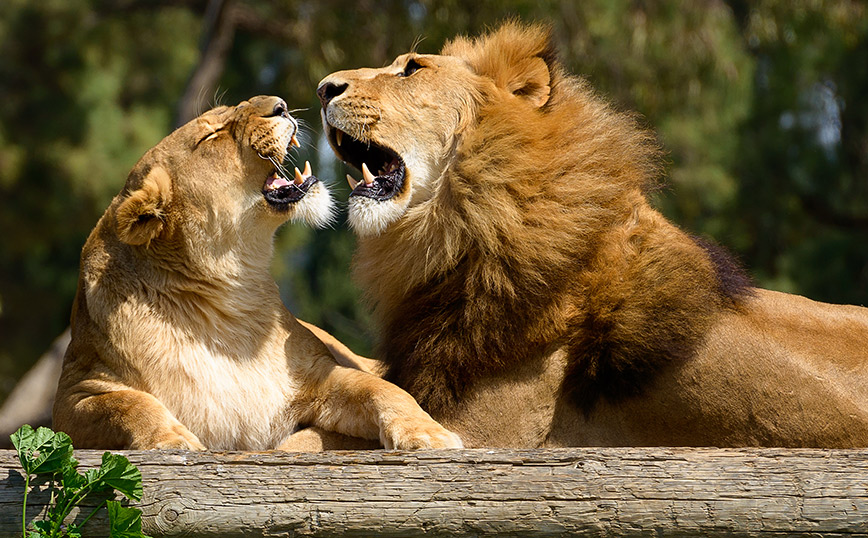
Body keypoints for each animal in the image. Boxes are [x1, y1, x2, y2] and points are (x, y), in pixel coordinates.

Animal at [52, 95, 462, 448]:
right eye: (212, 134)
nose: (280, 104)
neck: (229, 304)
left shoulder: (320, 375)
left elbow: (383, 391)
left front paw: (428, 433)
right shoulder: (75, 395)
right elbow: (127, 404)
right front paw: (172, 440)